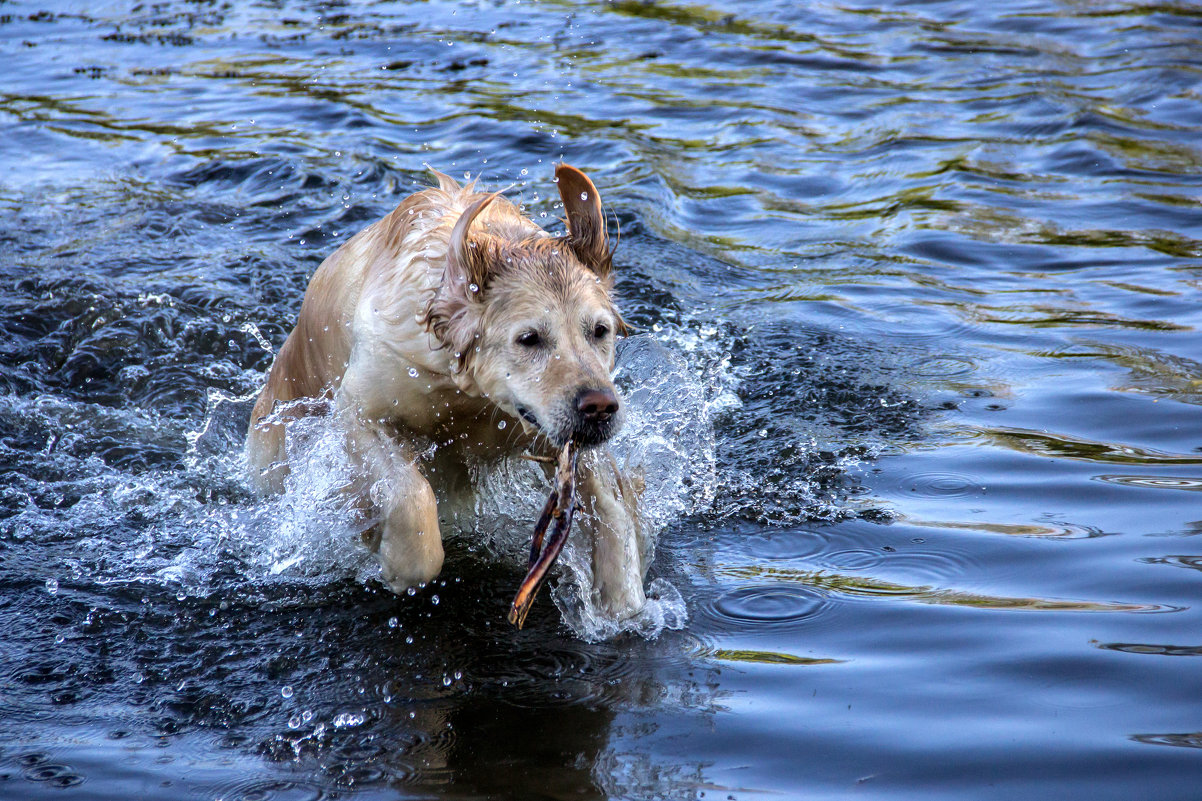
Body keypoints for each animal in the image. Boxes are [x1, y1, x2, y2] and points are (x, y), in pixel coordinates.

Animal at [245, 163, 653, 615]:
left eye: (600, 331)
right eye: (529, 339)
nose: (600, 407)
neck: (469, 392)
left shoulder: (561, 440)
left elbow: (613, 509)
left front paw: (621, 593)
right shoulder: (359, 409)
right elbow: (411, 495)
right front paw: (398, 559)